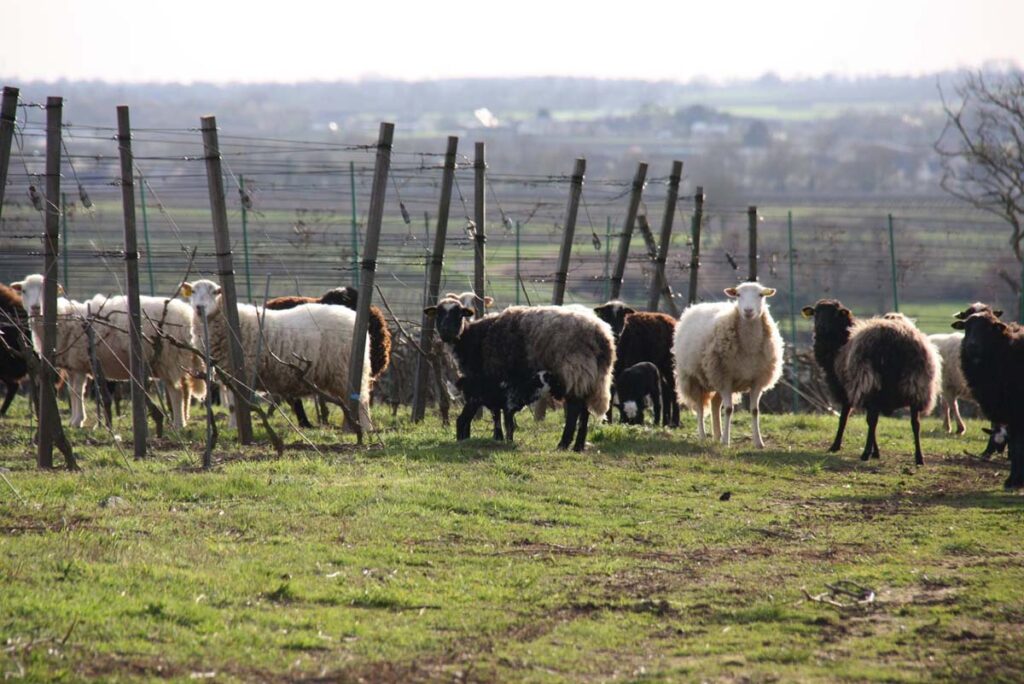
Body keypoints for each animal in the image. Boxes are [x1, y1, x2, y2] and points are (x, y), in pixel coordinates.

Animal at [12, 272, 205, 428]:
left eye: (45, 290)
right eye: (24, 291)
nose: (35, 307)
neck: (62, 318)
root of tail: (187, 315)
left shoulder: (79, 363)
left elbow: (77, 393)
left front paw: (78, 421)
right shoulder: (72, 365)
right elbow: (73, 392)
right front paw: (74, 420)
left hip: (169, 358)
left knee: (176, 392)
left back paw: (178, 424)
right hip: (171, 360)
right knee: (183, 390)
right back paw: (181, 420)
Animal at [180, 278, 372, 432]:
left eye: (215, 292)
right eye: (193, 292)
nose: (199, 308)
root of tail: (352, 317)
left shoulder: (244, 371)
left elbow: (238, 403)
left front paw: (236, 427)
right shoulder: (227, 373)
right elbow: (233, 405)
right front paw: (233, 427)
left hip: (345, 370)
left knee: (361, 400)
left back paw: (363, 428)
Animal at [671, 280, 782, 446]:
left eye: (761, 295)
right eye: (738, 294)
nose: (748, 311)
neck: (749, 347)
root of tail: (693, 308)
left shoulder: (757, 380)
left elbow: (755, 411)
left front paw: (758, 443)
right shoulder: (725, 378)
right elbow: (729, 410)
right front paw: (726, 442)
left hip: (716, 380)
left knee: (715, 404)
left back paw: (718, 435)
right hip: (694, 377)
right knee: (700, 407)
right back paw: (704, 436)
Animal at [802, 298, 937, 464]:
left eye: (834, 314)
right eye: (816, 313)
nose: (820, 327)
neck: (841, 343)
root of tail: (898, 338)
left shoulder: (847, 389)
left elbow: (844, 418)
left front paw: (835, 446)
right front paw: (876, 452)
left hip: (870, 381)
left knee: (873, 420)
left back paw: (865, 454)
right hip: (916, 385)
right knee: (915, 423)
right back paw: (919, 457)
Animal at [950, 307, 1024, 489]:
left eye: (989, 328)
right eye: (966, 327)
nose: (972, 345)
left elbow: (1018, 446)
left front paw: (1015, 481)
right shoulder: (1009, 412)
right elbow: (1015, 445)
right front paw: (1013, 480)